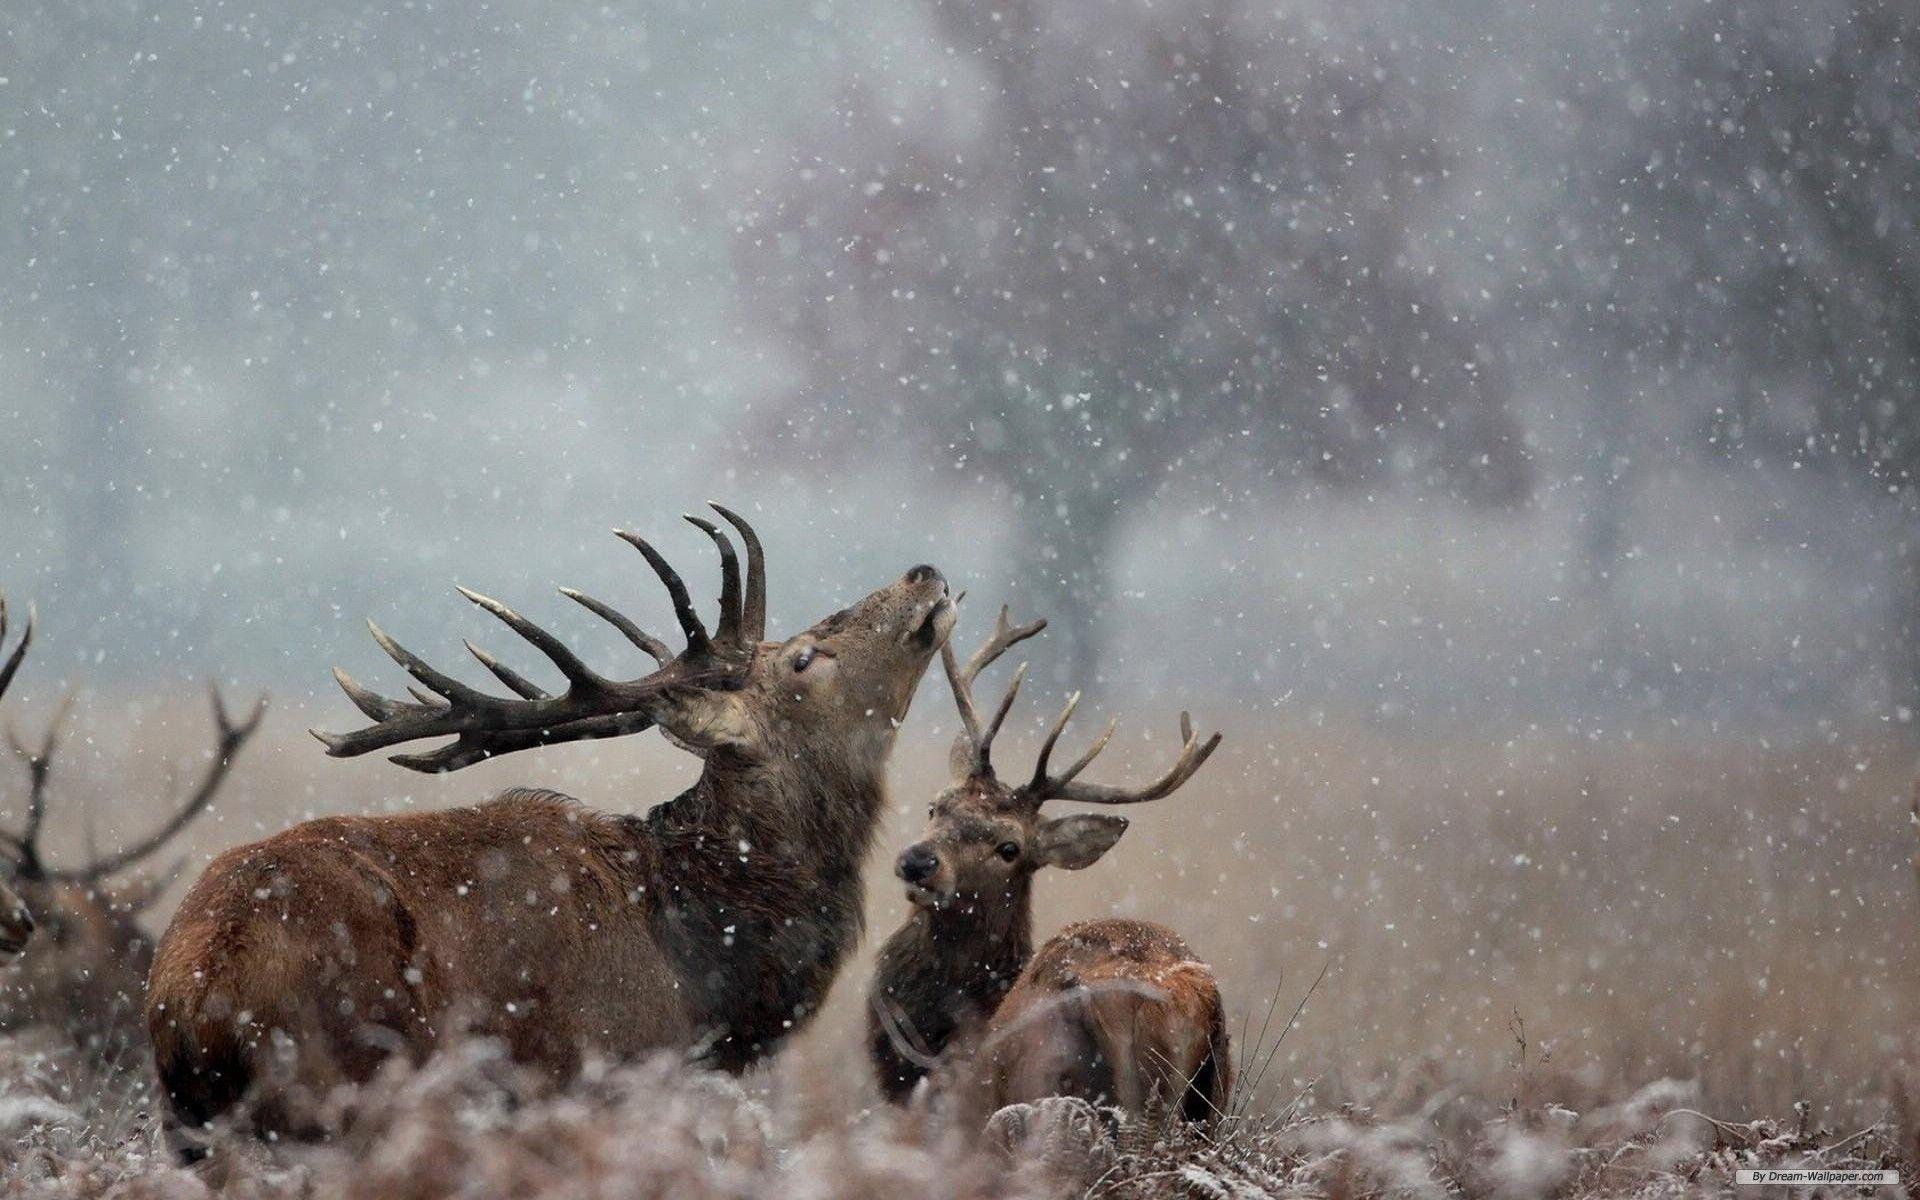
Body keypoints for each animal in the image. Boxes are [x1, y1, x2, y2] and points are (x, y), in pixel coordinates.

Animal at [146, 505, 956, 1156]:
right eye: (802, 657)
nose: (924, 574)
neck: (703, 977)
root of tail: (194, 995)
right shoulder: (602, 1072)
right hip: (338, 1090)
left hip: (192, 1129)